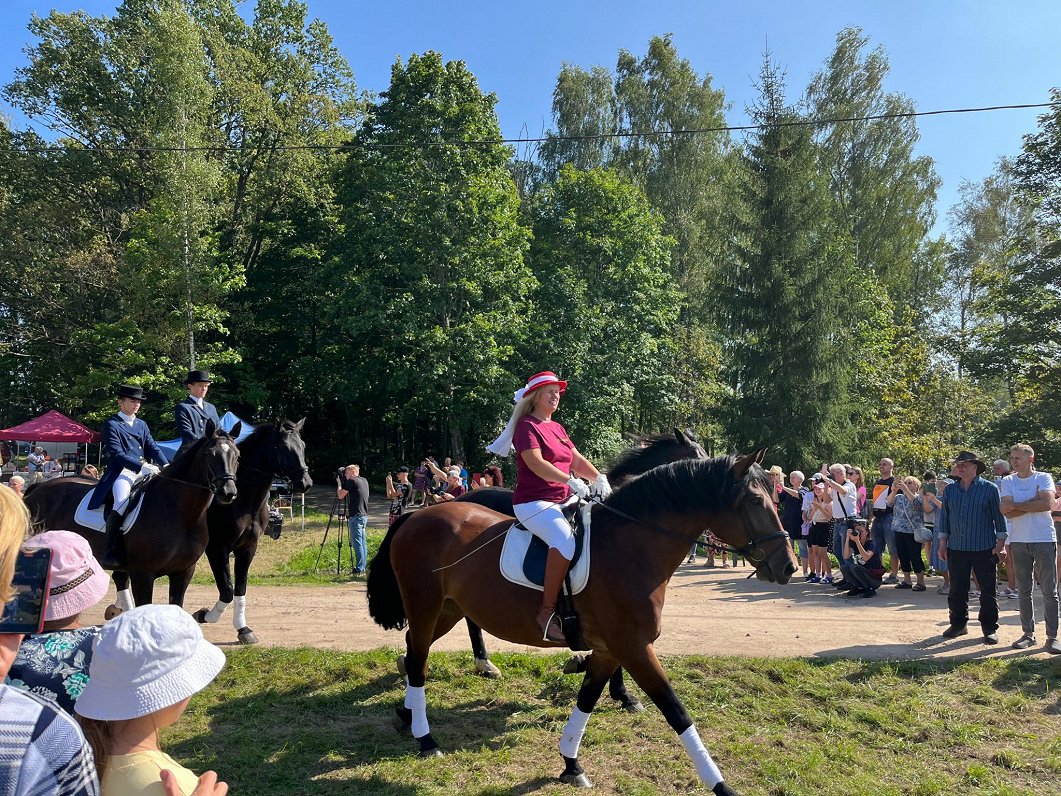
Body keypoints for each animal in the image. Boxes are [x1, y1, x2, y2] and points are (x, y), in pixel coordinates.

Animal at [24, 424, 240, 611]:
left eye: (237, 456)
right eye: (210, 454)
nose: (228, 492)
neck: (181, 514)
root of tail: (38, 488)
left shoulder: (183, 572)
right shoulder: (143, 575)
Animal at [195, 420, 311, 645]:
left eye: (303, 445)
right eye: (284, 447)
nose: (305, 483)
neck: (243, 501)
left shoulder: (248, 548)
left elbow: (240, 589)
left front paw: (243, 630)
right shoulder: (217, 548)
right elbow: (227, 589)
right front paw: (205, 615)